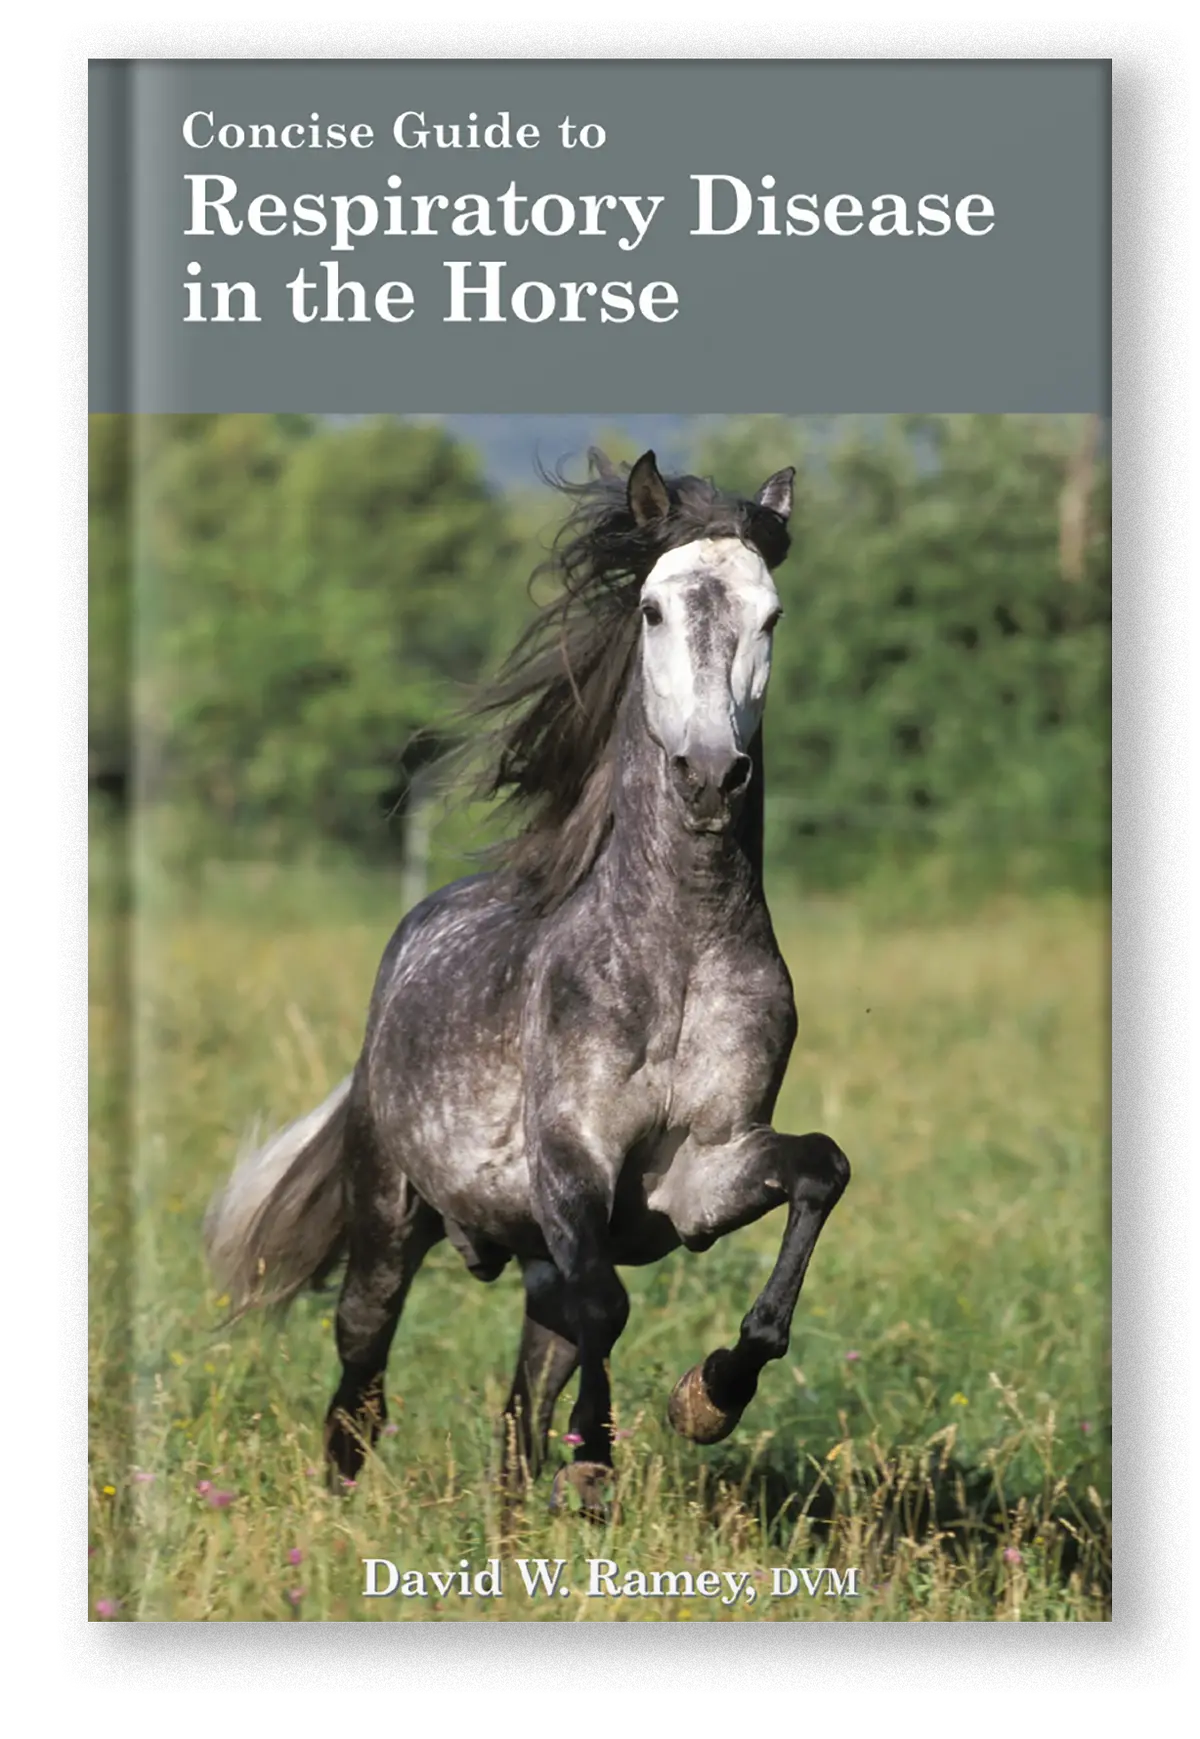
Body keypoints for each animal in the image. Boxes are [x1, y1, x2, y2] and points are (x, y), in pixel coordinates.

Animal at [204, 447, 851, 1516]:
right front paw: (599, 1462)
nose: (711, 775)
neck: (675, 958)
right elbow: (609, 1303)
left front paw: (706, 1397)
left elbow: (821, 1170)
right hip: (389, 1219)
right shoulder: (570, 1169)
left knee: (519, 1411)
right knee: (363, 1377)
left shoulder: (700, 1172)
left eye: (772, 615)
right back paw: (341, 1507)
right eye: (653, 610)